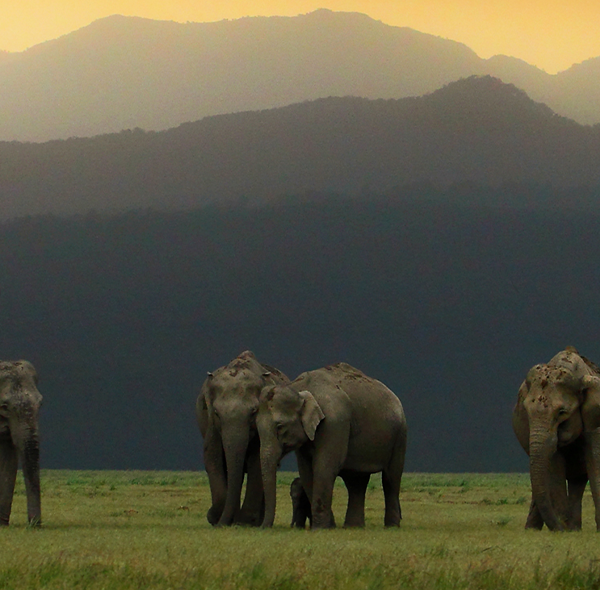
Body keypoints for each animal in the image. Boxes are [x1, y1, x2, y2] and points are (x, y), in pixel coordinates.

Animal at [196, 352, 290, 528]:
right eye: (217, 413)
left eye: (254, 411)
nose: (216, 521)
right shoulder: (212, 425)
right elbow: (212, 458)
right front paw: (217, 516)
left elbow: (257, 461)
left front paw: (245, 522)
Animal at [258, 366, 408, 532]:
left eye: (280, 427)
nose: (264, 528)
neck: (299, 388)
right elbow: (306, 471)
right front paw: (329, 526)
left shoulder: (335, 422)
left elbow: (324, 467)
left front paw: (320, 529)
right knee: (356, 482)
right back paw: (353, 527)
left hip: (400, 435)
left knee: (390, 479)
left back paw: (391, 527)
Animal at [510, 344, 600, 536]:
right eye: (526, 412)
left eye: (562, 412)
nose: (559, 527)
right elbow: (555, 466)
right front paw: (564, 531)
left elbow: (595, 461)